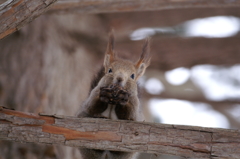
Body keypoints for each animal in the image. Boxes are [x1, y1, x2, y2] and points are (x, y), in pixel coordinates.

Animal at [77, 31, 150, 159]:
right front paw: (104, 95)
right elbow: (91, 106)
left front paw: (123, 98)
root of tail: (106, 155)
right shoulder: (93, 95)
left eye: (132, 76)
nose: (120, 78)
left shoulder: (135, 106)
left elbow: (129, 115)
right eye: (110, 70)